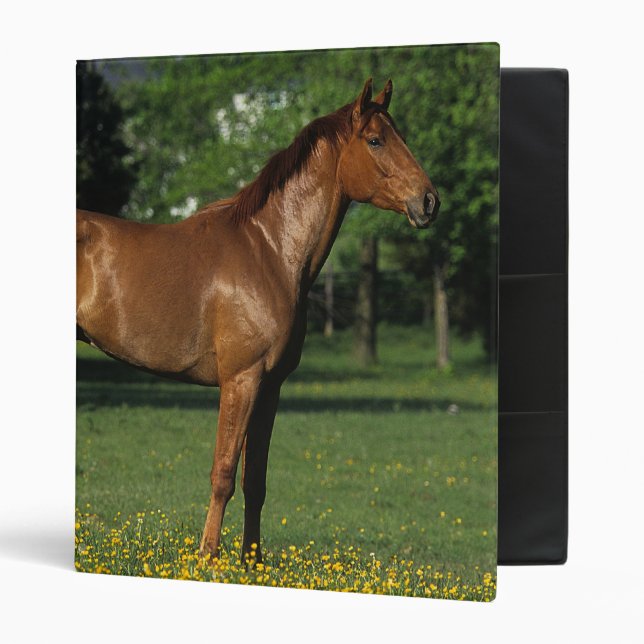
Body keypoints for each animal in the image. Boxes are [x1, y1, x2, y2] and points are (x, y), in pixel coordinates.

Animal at [76, 78, 440, 562]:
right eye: (376, 140)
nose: (429, 201)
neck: (269, 250)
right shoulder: (241, 381)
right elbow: (224, 474)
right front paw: (207, 559)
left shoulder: (270, 387)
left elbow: (256, 482)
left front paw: (253, 564)